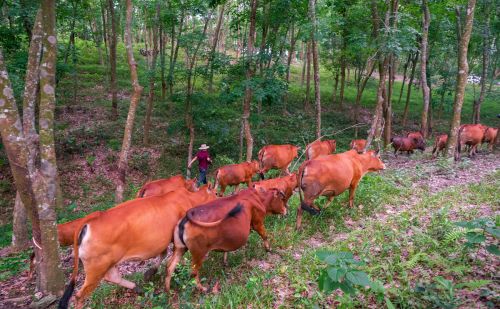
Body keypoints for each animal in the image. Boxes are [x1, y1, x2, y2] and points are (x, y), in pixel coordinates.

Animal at [57, 185, 216, 308]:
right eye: (216, 193)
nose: (219, 198)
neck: (189, 198)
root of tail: (91, 219)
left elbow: (163, 254)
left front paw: (150, 272)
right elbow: (167, 255)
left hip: (107, 262)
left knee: (112, 277)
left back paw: (138, 289)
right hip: (96, 268)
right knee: (80, 296)